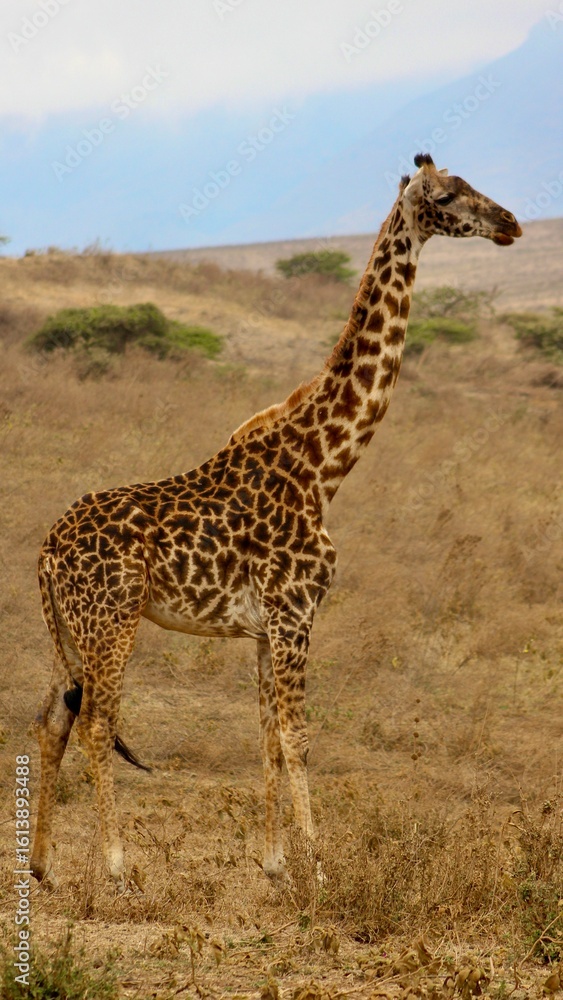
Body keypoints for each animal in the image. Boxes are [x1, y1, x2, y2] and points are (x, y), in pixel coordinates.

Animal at [31, 154, 522, 889]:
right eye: (445, 195)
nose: (511, 223)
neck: (325, 465)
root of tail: (45, 550)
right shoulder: (296, 615)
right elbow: (298, 737)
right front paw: (316, 868)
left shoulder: (265, 630)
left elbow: (264, 736)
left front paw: (272, 862)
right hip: (111, 622)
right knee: (95, 722)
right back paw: (114, 867)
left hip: (69, 630)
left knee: (49, 718)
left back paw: (41, 869)